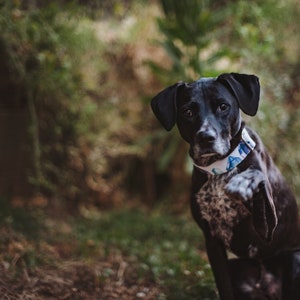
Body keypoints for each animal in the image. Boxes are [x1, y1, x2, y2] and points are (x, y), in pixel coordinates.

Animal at [151, 73, 300, 300]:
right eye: (187, 112)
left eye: (223, 106)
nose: (206, 137)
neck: (220, 168)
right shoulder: (212, 242)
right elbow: (223, 286)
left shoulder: (268, 228)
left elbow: (257, 176)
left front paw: (243, 182)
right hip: (237, 267)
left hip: (294, 259)